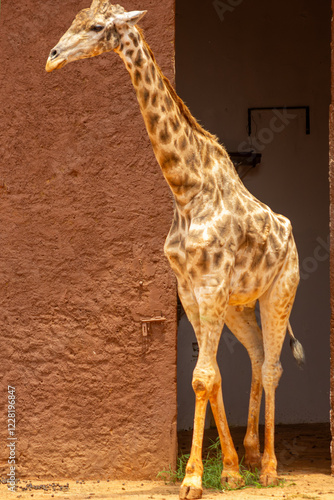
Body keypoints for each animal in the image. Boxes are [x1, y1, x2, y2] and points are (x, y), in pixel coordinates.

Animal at [45, 1, 304, 498]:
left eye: (98, 26)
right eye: (75, 18)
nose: (51, 58)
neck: (186, 189)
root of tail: (291, 235)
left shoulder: (212, 285)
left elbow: (203, 377)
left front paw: (193, 480)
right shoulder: (189, 289)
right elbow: (212, 377)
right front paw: (228, 470)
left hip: (279, 291)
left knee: (273, 366)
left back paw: (270, 468)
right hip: (240, 304)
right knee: (256, 357)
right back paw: (251, 455)